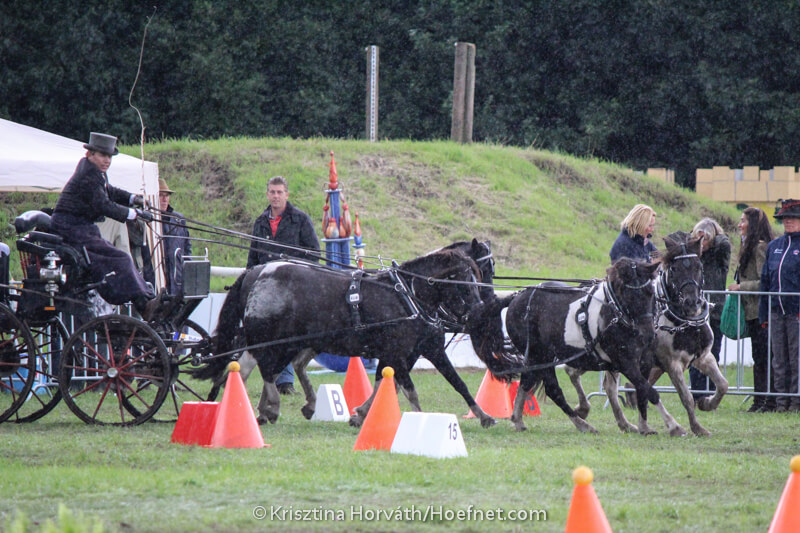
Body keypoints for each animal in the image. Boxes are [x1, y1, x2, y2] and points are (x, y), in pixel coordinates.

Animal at [193, 248, 494, 426]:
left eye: (478, 276)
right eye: (463, 281)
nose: (480, 310)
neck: (407, 294)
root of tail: (256, 272)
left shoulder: (424, 350)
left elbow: (455, 383)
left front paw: (484, 416)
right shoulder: (396, 352)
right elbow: (408, 389)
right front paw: (418, 420)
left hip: (284, 342)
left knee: (250, 367)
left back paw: (256, 409)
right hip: (273, 339)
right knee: (265, 368)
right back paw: (270, 408)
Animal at [467, 257, 686, 435]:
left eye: (650, 293)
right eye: (630, 295)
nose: (647, 334)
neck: (615, 312)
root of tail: (517, 297)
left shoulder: (641, 362)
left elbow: (641, 392)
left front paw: (642, 426)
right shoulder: (625, 363)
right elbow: (649, 391)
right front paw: (674, 426)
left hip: (538, 358)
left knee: (527, 382)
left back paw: (518, 419)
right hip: (541, 355)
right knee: (553, 390)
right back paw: (582, 424)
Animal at [563, 236, 729, 436]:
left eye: (699, 266)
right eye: (674, 269)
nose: (691, 302)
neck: (683, 322)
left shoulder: (703, 357)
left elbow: (723, 385)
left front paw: (707, 403)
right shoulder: (671, 363)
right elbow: (686, 397)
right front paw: (695, 427)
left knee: (608, 386)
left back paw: (623, 423)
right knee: (572, 371)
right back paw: (584, 409)